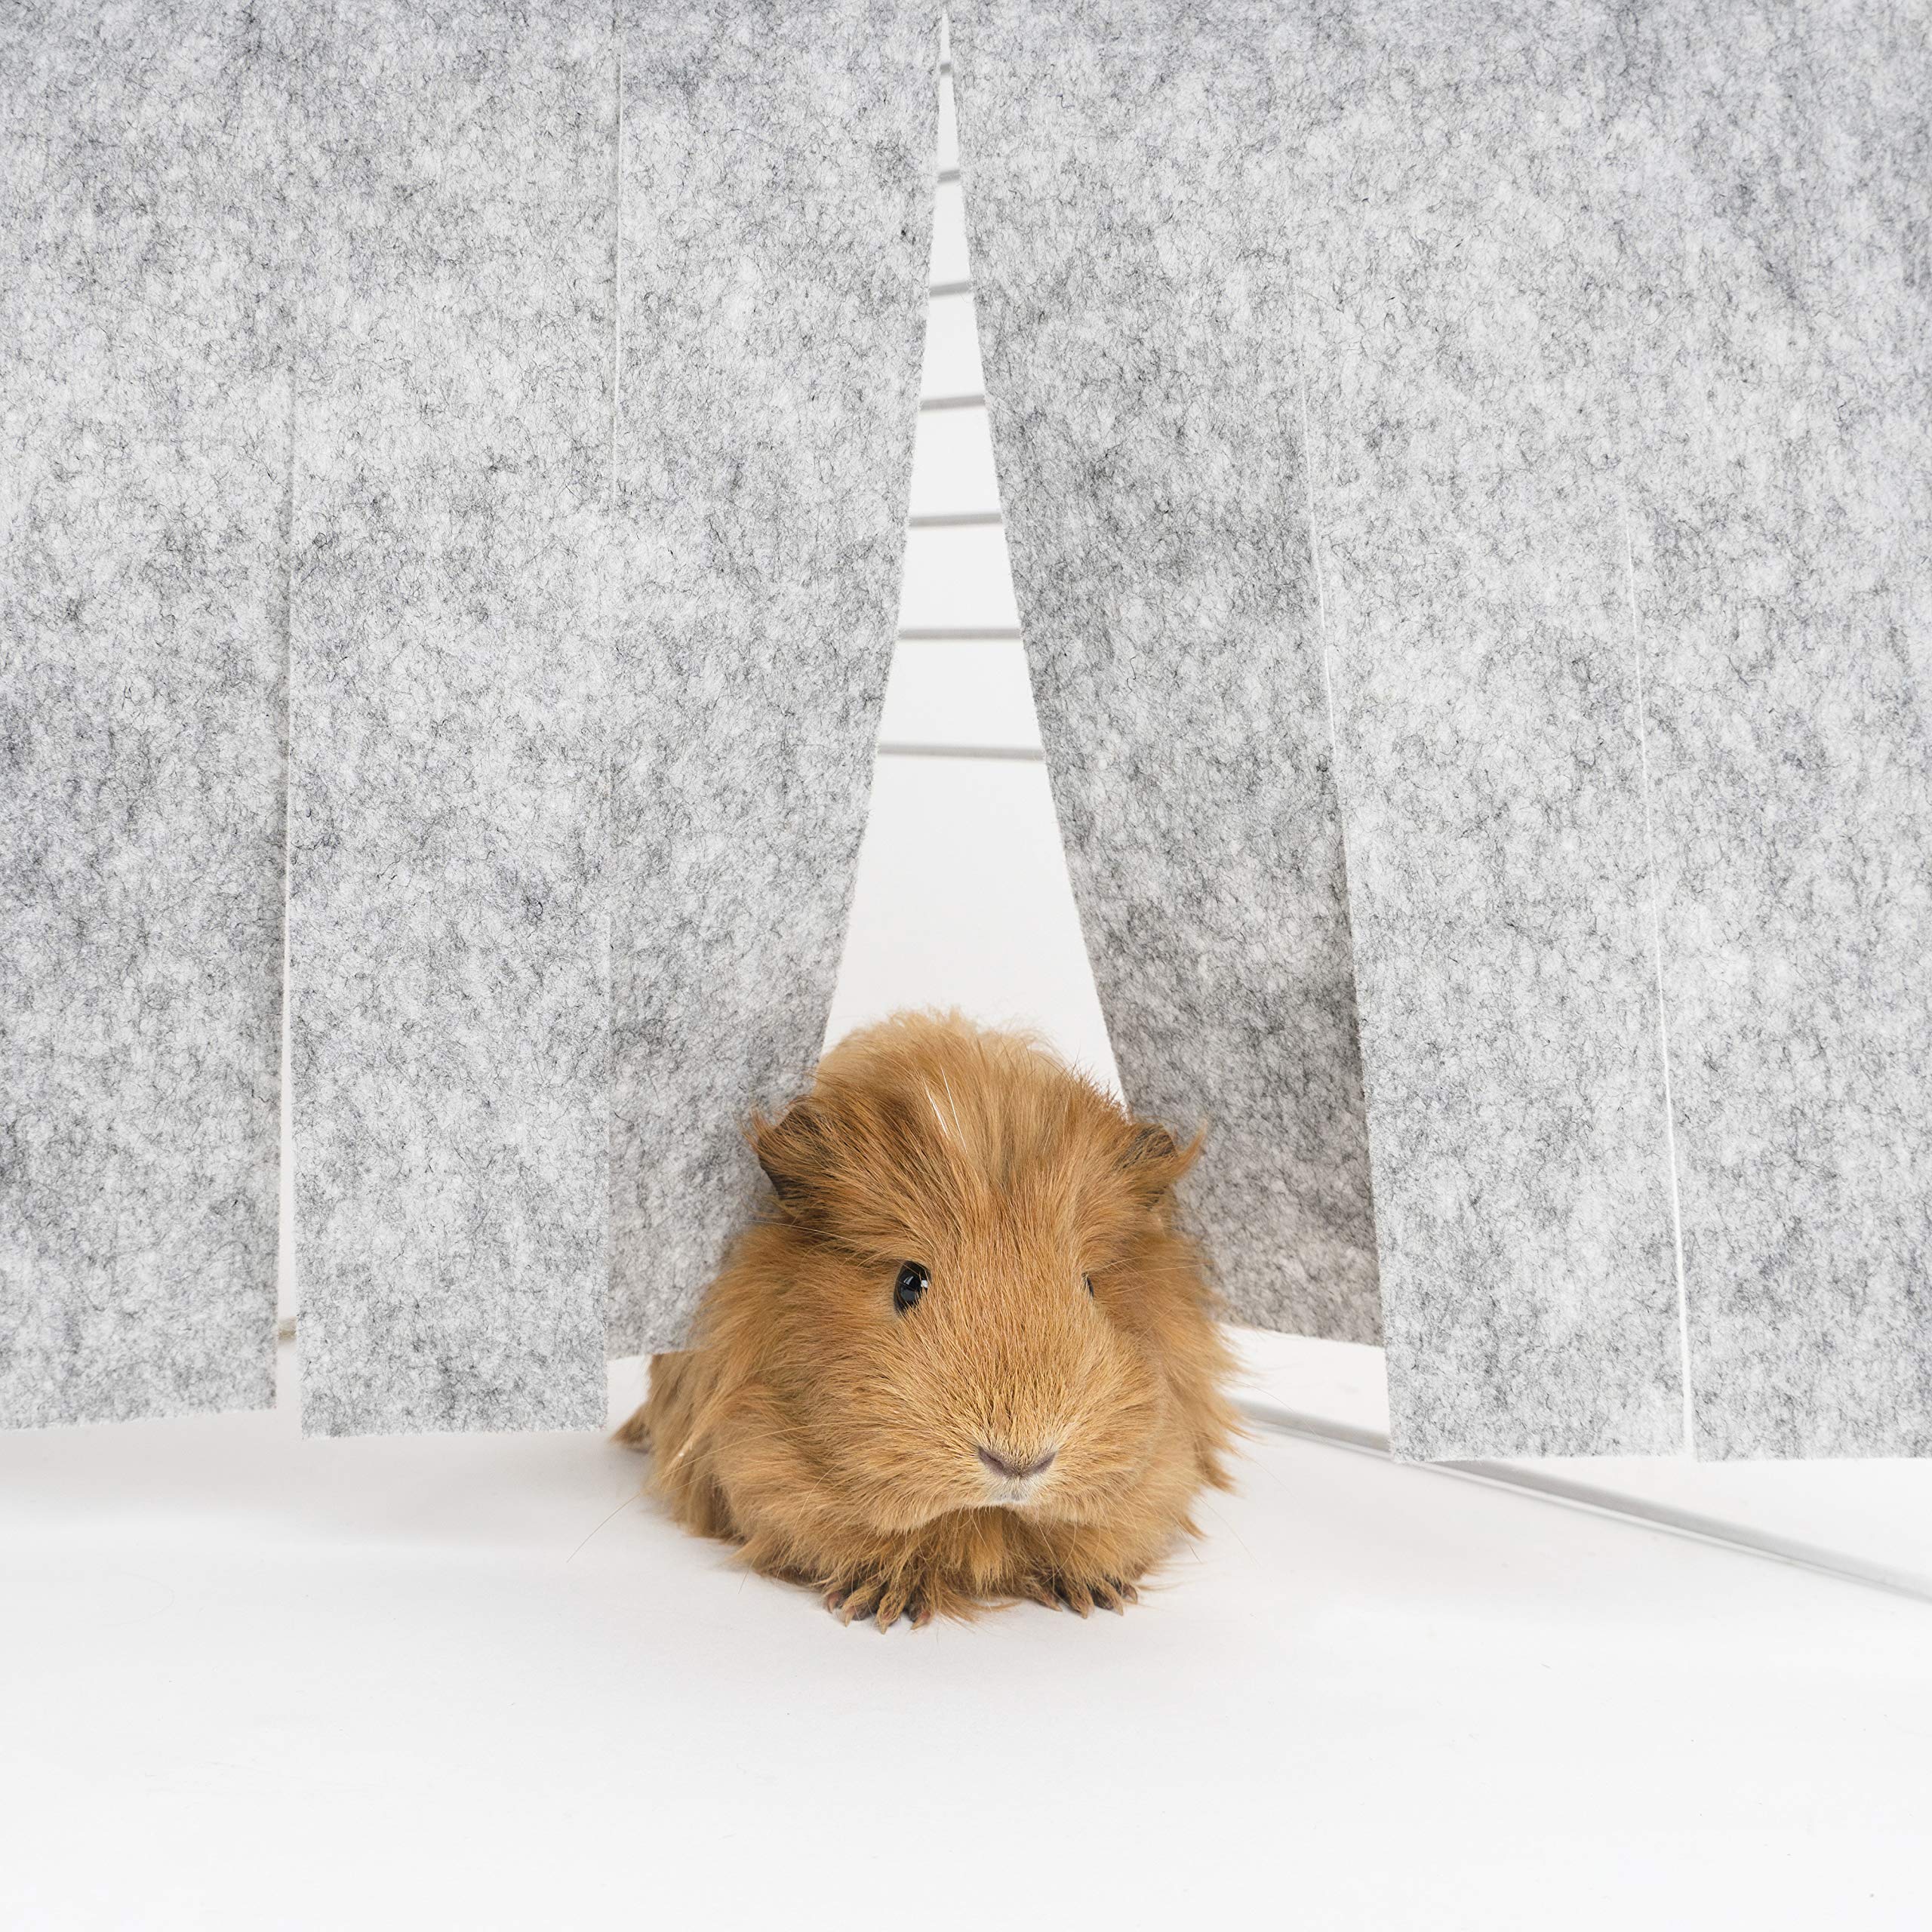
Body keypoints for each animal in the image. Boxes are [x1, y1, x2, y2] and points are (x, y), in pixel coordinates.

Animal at [615, 1010, 1237, 1627]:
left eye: (1088, 1285)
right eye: (908, 1282)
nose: (1020, 1462)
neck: (984, 1518)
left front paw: (1098, 1594)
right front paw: (879, 1601)